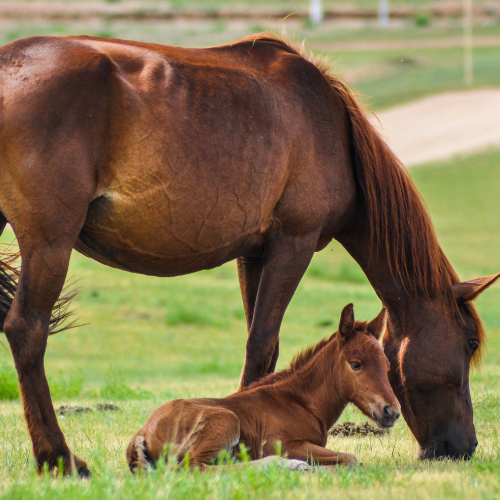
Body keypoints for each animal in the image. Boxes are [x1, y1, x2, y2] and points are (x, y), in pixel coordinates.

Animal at [127, 304, 400, 472]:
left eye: (387, 365)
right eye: (356, 364)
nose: (392, 411)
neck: (300, 403)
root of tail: (143, 431)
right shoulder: (286, 444)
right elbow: (350, 459)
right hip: (226, 421)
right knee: (195, 467)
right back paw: (286, 465)